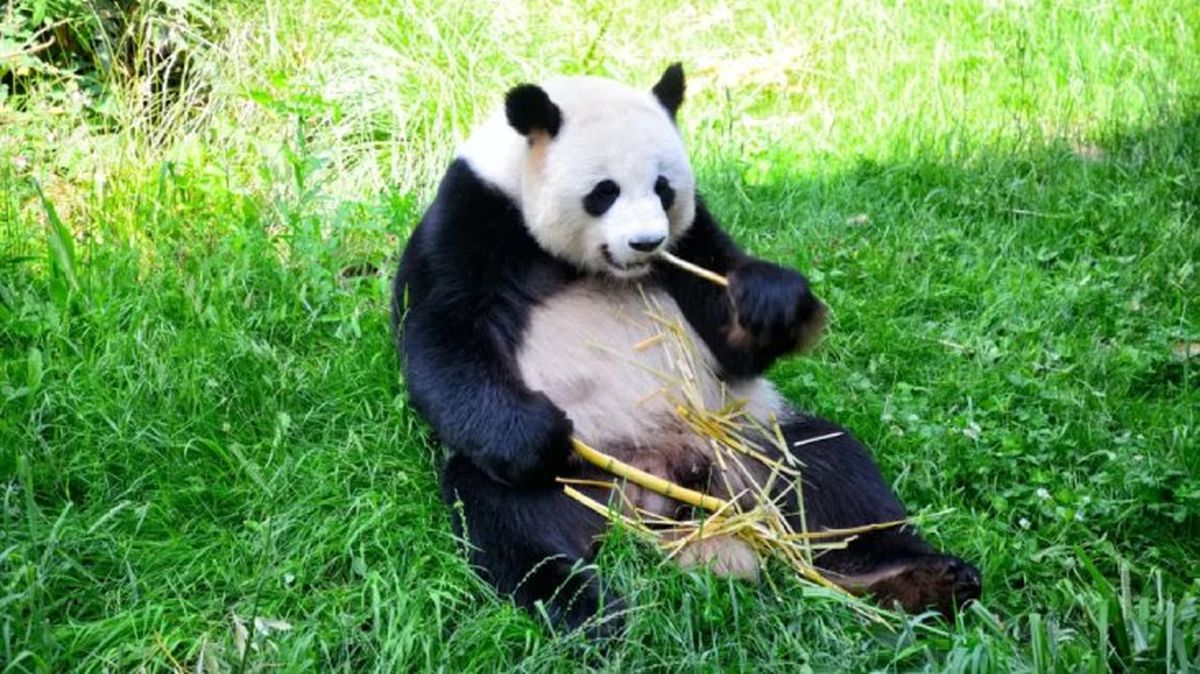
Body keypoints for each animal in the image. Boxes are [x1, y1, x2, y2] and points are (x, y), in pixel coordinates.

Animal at [392, 64, 981, 633]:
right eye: (604, 191)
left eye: (663, 188)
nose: (647, 243)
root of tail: (662, 483)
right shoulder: (472, 219)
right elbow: (440, 338)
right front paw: (539, 431)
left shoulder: (694, 235)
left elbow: (727, 326)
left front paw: (774, 303)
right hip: (573, 475)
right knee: (511, 519)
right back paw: (587, 610)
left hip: (749, 438)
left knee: (832, 474)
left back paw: (920, 578)